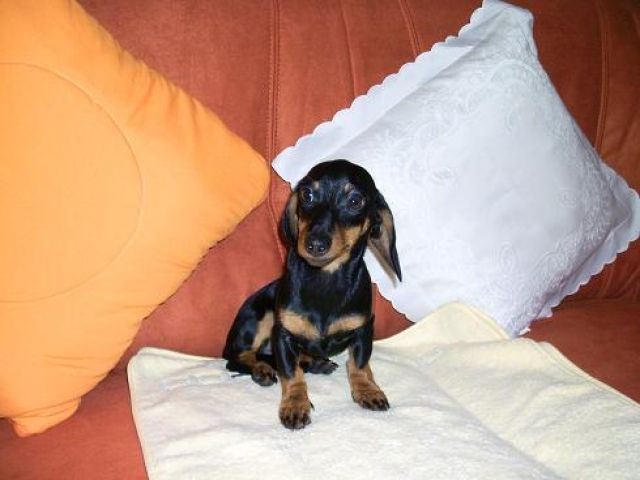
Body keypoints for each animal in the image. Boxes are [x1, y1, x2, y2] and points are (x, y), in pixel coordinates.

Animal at [223, 159, 401, 429]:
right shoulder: (282, 334)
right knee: (239, 357)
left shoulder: (364, 328)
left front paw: (368, 390)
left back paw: (315, 363)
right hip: (261, 315)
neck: (324, 279)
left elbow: (359, 363)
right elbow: (291, 374)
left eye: (355, 201)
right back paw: (262, 369)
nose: (315, 244)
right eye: (307, 195)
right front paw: (295, 404)